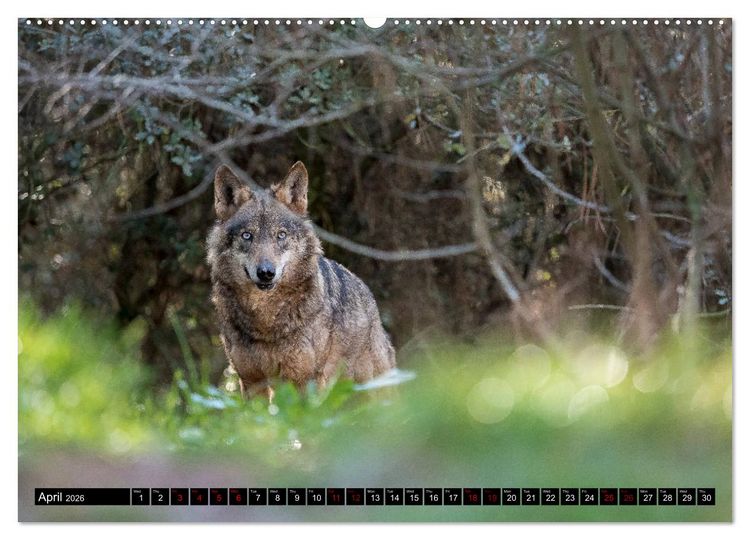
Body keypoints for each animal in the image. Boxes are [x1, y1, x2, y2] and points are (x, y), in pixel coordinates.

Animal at [207, 161, 396, 399]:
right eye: (247, 235)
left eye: (281, 235)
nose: (266, 272)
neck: (265, 321)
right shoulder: (251, 381)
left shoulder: (303, 379)